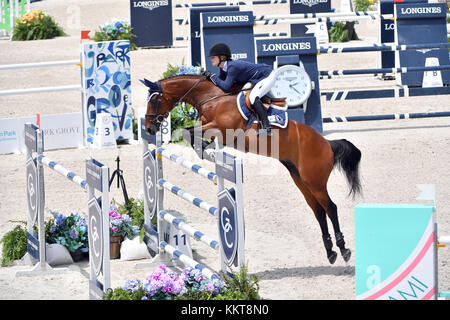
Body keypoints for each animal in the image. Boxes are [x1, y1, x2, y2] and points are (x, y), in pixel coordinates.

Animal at [142, 74, 364, 264]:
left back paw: (343, 249)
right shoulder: (213, 129)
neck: (211, 98)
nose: (149, 128)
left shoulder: (221, 129)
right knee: (318, 211)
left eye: (154, 100)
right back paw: (330, 252)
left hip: (315, 181)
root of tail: (327, 144)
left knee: (331, 208)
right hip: (300, 180)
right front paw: (205, 148)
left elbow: (188, 131)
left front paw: (204, 150)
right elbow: (190, 132)